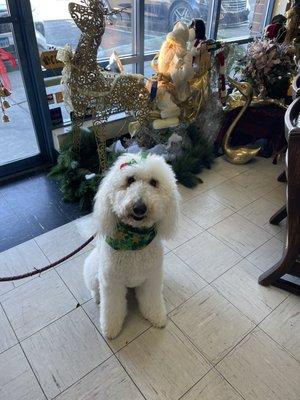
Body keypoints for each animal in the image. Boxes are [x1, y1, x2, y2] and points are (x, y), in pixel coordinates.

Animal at [83, 152, 179, 340]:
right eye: (129, 180)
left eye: (154, 182)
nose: (139, 207)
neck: (133, 240)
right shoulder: (112, 282)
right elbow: (112, 308)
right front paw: (110, 329)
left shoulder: (152, 278)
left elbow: (152, 300)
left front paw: (156, 316)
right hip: (93, 271)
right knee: (95, 289)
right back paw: (97, 298)